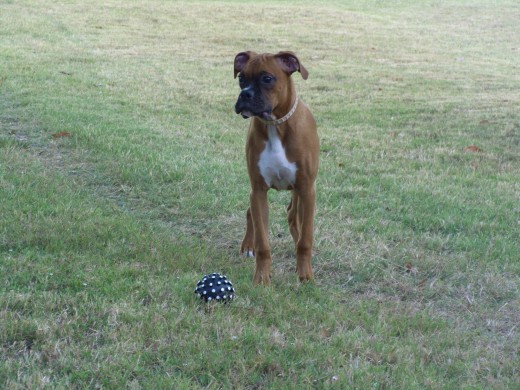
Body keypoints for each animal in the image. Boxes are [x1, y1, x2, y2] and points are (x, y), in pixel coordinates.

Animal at [234, 50, 318, 284]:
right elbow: (263, 242)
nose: (245, 95)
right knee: (251, 214)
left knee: (293, 216)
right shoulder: (258, 191)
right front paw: (262, 278)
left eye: (267, 78)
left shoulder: (307, 190)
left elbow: (305, 239)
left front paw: (305, 275)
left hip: (299, 193)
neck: (275, 125)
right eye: (241, 78)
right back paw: (248, 246)